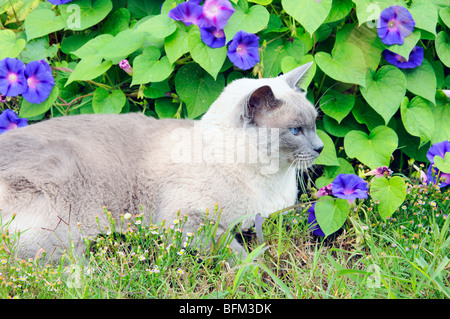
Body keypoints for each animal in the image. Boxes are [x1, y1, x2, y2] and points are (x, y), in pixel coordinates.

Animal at [0, 63, 324, 262]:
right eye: (296, 130)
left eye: (314, 123)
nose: (320, 147)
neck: (271, 179)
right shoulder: (186, 220)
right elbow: (235, 250)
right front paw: (258, 268)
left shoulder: (278, 214)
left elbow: (304, 216)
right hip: (69, 222)